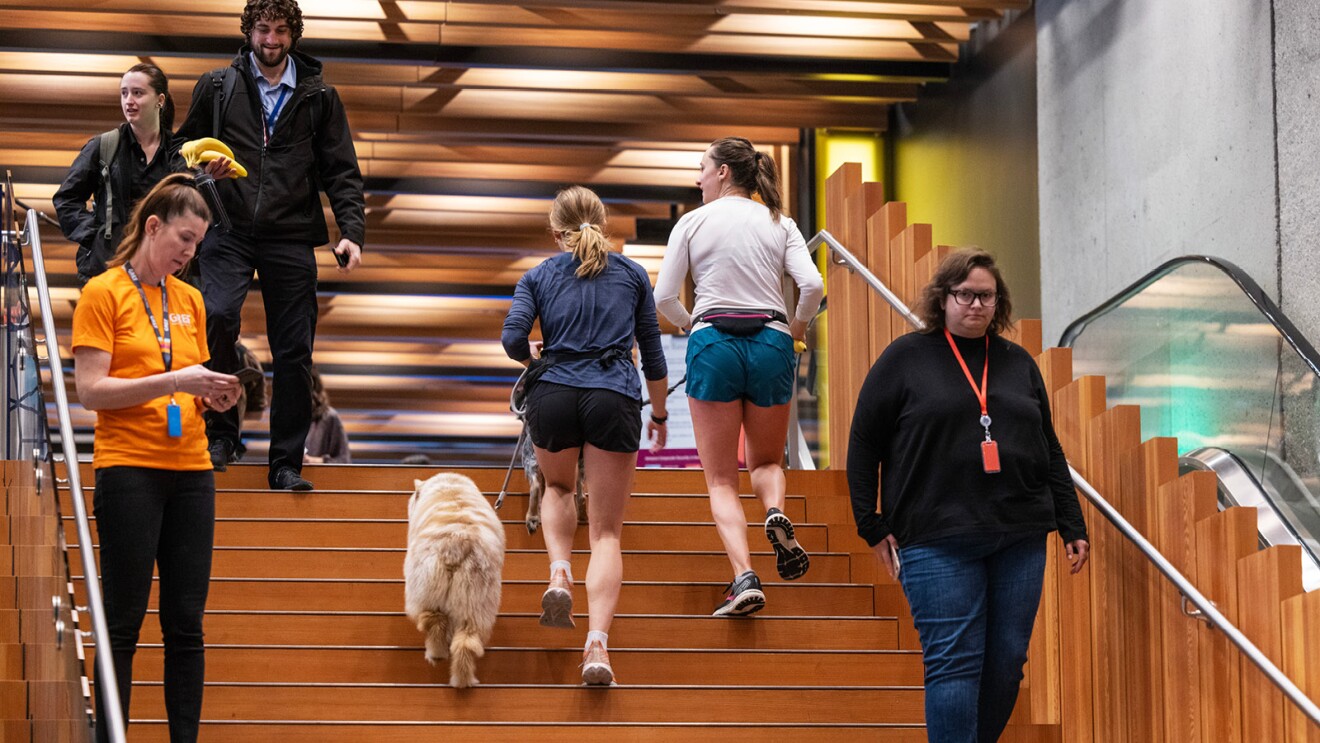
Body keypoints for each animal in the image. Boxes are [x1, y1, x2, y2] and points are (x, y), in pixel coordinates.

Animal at [401, 475, 504, 691]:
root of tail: (457, 541)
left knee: (435, 622)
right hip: (475, 601)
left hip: (428, 590)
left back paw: (435, 656)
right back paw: (462, 681)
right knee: (465, 641)